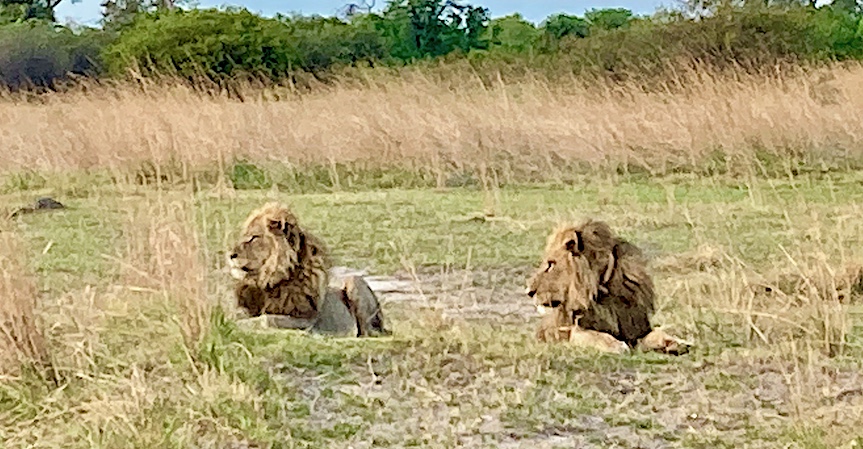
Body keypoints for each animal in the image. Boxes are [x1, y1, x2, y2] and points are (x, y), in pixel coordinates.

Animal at [230, 202, 392, 336]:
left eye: (253, 237)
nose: (230, 255)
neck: (268, 280)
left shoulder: (307, 320)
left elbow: (266, 319)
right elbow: (241, 314)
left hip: (354, 281)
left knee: (367, 331)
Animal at [524, 220, 692, 354]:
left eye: (551, 264)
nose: (529, 292)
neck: (602, 291)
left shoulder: (635, 328)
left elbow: (657, 333)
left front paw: (676, 342)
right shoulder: (568, 329)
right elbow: (591, 335)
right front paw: (615, 345)